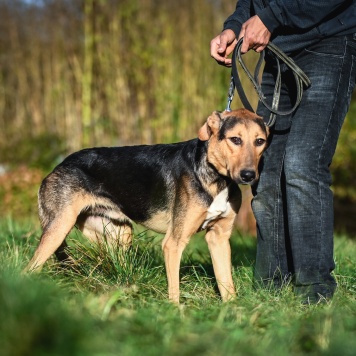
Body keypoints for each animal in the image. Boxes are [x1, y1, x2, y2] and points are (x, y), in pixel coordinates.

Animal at [25, 109, 268, 304]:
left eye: (260, 141)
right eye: (235, 139)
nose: (249, 175)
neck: (217, 178)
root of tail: (60, 165)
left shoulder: (219, 238)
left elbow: (227, 286)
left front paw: (234, 312)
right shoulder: (173, 243)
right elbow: (174, 290)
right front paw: (175, 314)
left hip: (118, 235)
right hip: (58, 230)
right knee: (29, 269)